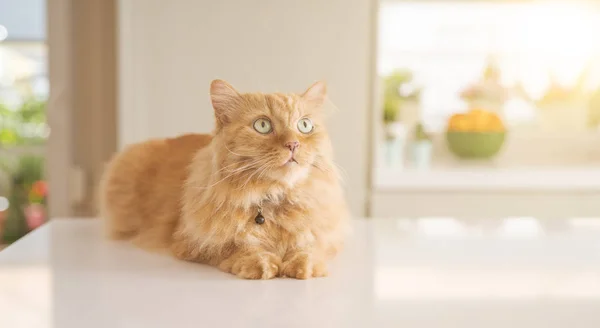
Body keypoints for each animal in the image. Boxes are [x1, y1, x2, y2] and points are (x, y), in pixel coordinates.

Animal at [100, 79, 350, 280]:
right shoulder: (189, 242)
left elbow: (309, 246)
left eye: (304, 125)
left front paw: (304, 264)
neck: (272, 198)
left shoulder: (327, 236)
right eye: (262, 125)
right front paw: (260, 263)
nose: (293, 144)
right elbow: (237, 246)